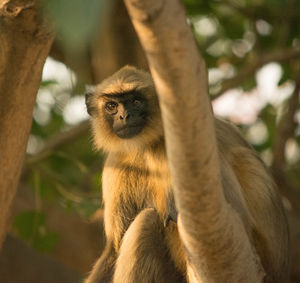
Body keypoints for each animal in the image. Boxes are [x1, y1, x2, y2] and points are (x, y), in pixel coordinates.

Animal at [84, 66, 288, 283]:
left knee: (148, 220)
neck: (147, 145)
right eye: (111, 106)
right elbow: (114, 248)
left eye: (136, 101)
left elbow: (236, 214)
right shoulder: (117, 162)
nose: (125, 116)